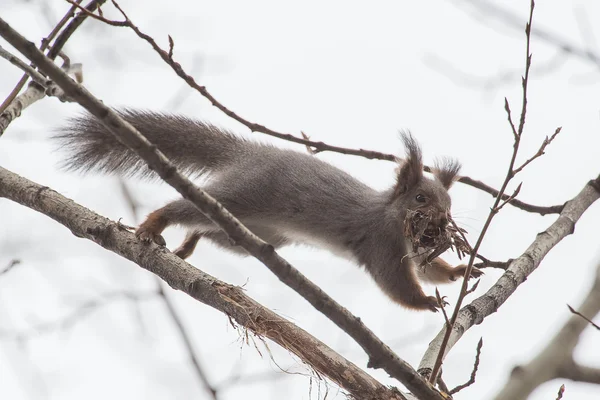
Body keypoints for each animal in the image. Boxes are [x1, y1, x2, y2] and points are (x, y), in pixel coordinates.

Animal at [57, 110, 482, 312]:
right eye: (421, 200)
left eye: (449, 206)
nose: (444, 224)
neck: (390, 216)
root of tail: (251, 152)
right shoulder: (381, 244)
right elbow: (396, 284)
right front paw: (426, 302)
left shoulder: (412, 249)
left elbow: (428, 269)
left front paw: (459, 271)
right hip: (239, 196)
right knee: (184, 208)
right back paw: (153, 225)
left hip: (252, 235)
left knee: (208, 231)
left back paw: (189, 244)